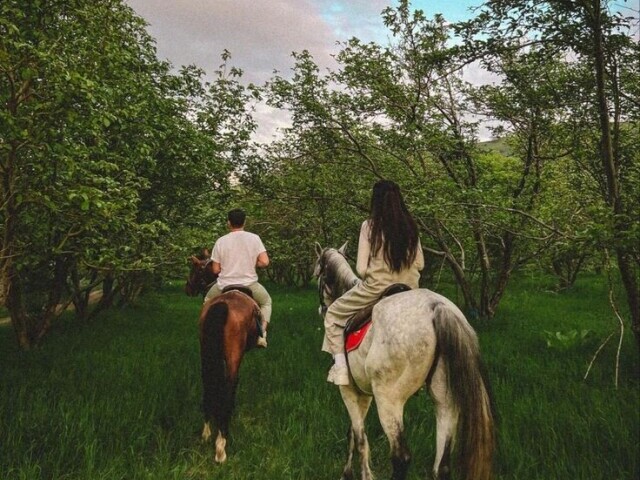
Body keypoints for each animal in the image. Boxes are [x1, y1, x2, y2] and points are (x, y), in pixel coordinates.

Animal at [188, 258, 262, 464]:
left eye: (194, 270)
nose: (187, 288)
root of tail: (223, 305)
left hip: (206, 353)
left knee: (208, 383)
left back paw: (207, 433)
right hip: (233, 356)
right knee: (230, 384)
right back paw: (221, 444)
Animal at [314, 244, 496, 480]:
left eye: (318, 272)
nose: (322, 309)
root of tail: (436, 307)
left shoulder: (349, 391)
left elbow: (358, 436)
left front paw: (352, 474)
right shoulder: (365, 393)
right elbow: (355, 434)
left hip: (389, 400)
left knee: (401, 457)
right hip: (445, 400)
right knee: (442, 465)